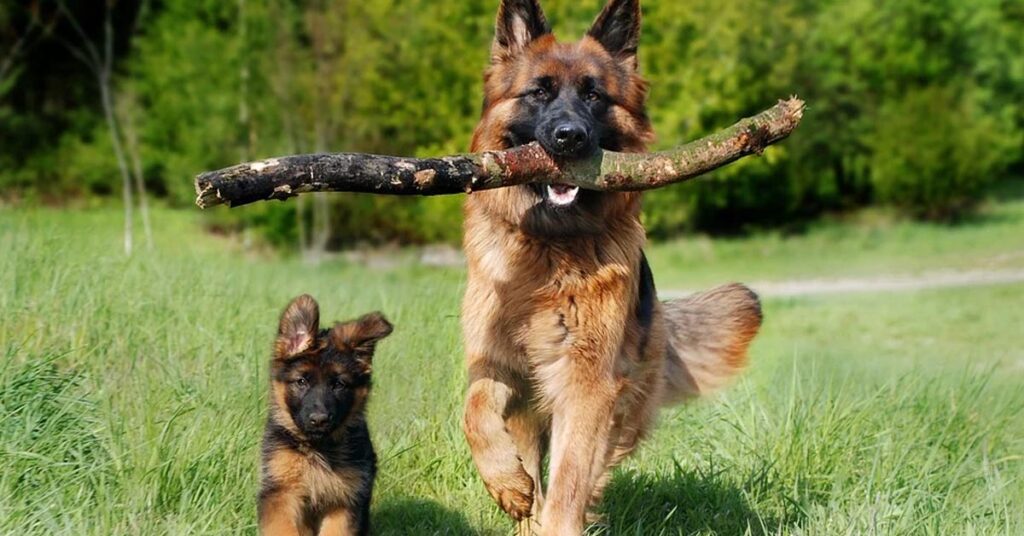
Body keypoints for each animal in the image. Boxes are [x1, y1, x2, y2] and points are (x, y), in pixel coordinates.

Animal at [258, 295, 393, 532]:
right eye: (301, 381)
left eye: (339, 384)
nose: (319, 420)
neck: (317, 448)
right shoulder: (281, 492)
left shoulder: (345, 501)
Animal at [460, 0, 765, 532]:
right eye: (538, 92)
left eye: (594, 96)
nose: (569, 138)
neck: (550, 247)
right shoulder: (496, 362)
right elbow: (474, 412)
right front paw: (507, 483)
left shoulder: (587, 383)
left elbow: (569, 480)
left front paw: (556, 519)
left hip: (621, 402)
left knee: (590, 468)